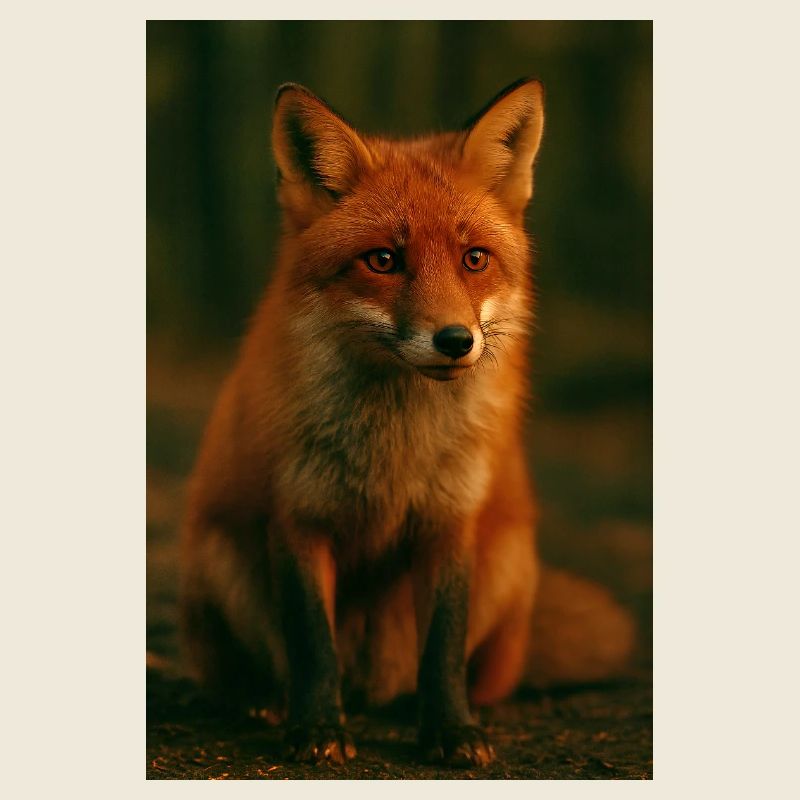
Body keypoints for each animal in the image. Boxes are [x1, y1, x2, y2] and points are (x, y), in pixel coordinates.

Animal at [179, 78, 635, 768]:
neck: (396, 447)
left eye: (474, 258)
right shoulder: (298, 517)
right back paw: (262, 701)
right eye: (383, 260)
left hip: (508, 561)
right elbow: (312, 643)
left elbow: (443, 646)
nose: (456, 340)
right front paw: (317, 729)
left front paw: (451, 731)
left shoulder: (450, 520)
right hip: (218, 555)